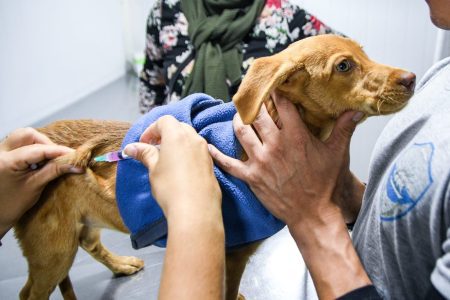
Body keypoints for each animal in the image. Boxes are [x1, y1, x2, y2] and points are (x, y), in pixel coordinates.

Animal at [13, 34, 414, 298]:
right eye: (344, 66)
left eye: (365, 54)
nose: (410, 79)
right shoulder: (230, 256)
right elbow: (225, 290)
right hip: (53, 249)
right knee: (30, 291)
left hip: (73, 231)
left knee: (90, 243)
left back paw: (121, 264)